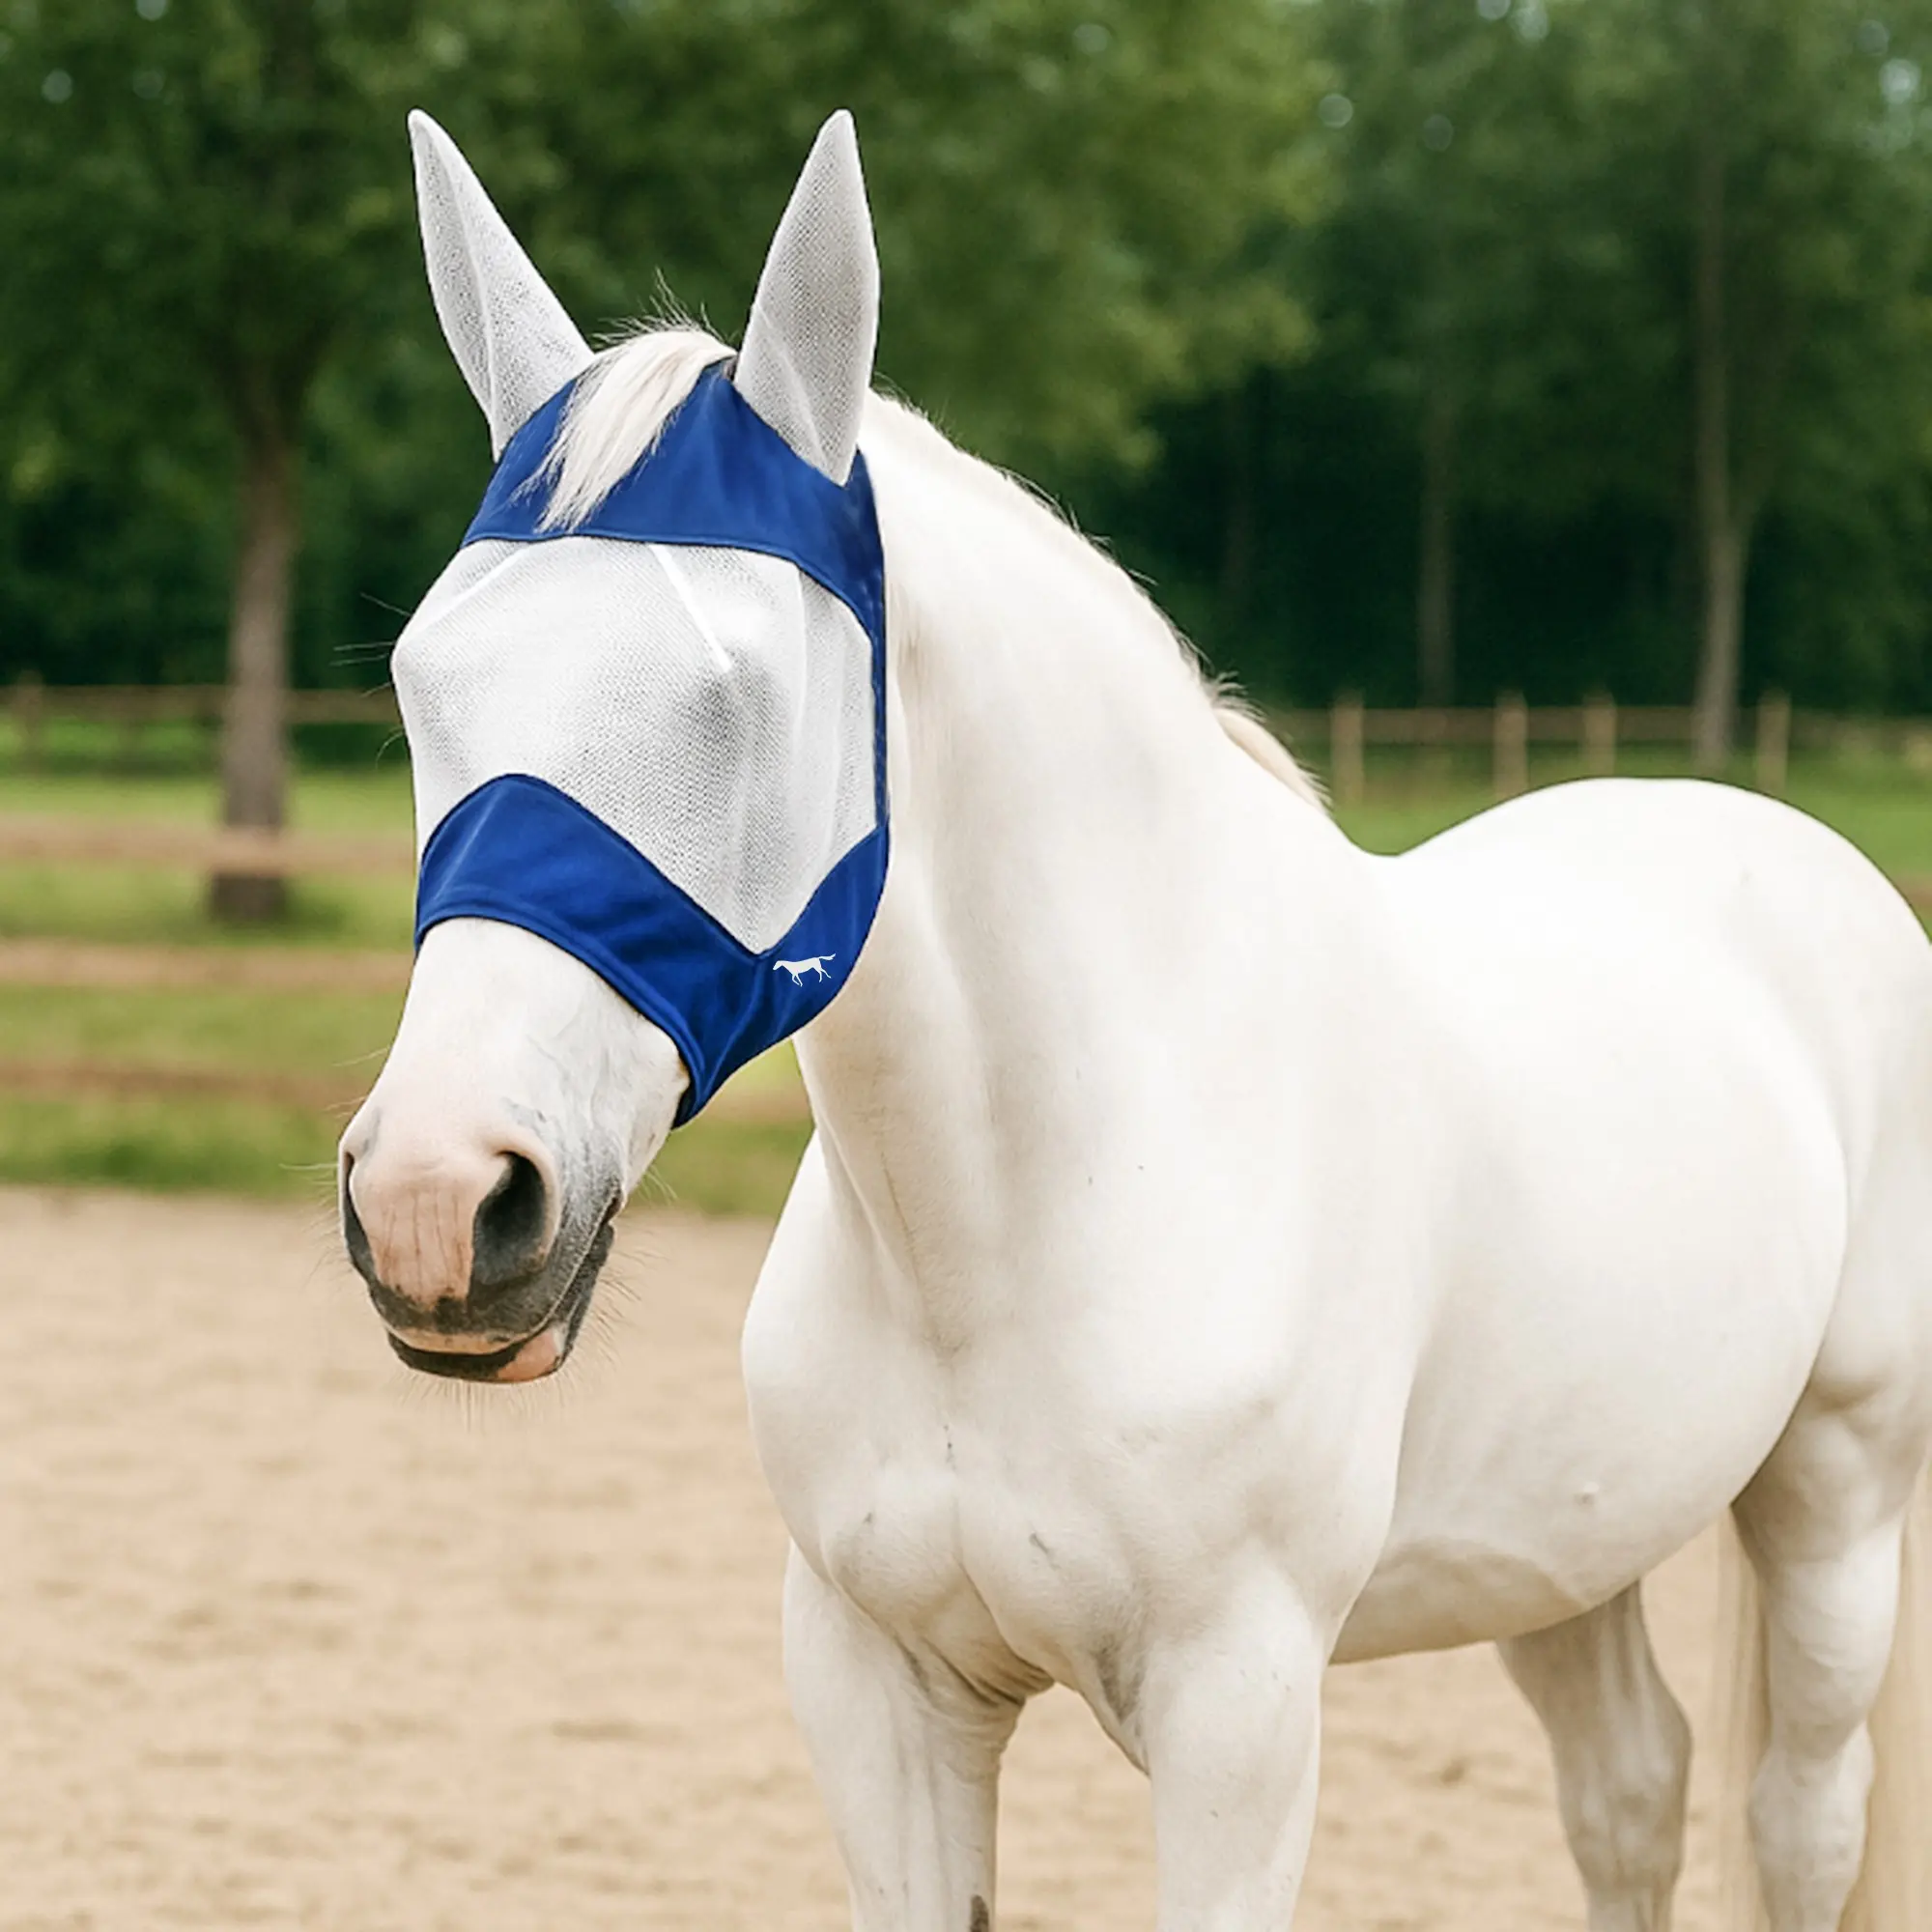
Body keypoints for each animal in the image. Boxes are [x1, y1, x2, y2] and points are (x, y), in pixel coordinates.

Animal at [341, 109, 1932, 1929]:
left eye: (736, 697)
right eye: (420, 676)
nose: (438, 1200)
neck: (1020, 1229)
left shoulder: (1240, 1715)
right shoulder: (877, 1690)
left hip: (1836, 1499)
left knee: (1797, 1817)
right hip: (1566, 1540)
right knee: (1631, 1791)